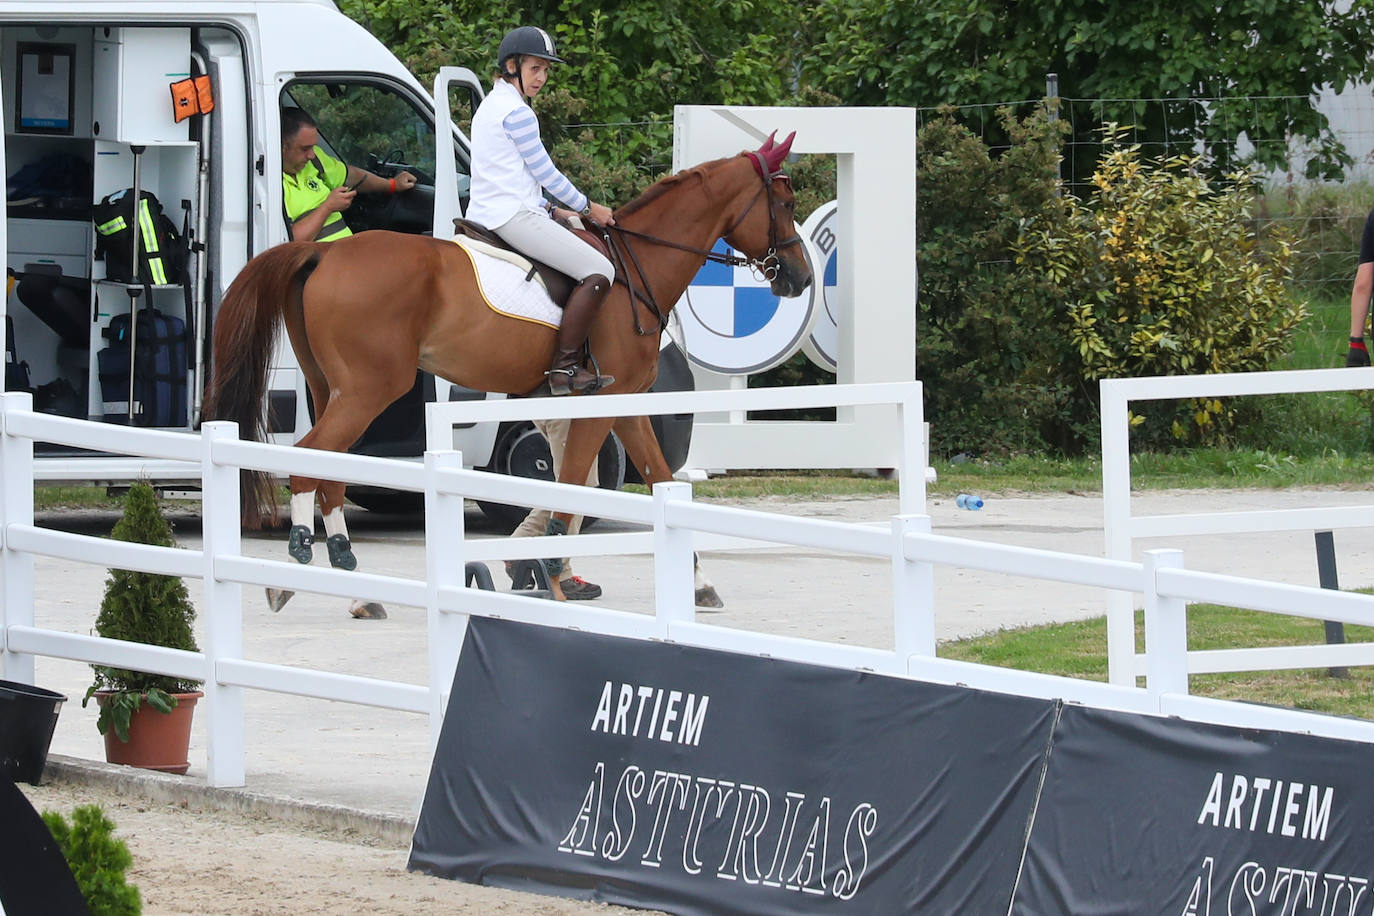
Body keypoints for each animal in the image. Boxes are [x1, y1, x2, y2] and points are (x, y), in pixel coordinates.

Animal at [200, 129, 802, 615]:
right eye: (785, 200)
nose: (797, 276)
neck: (636, 270)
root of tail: (325, 254)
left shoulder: (626, 402)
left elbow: (654, 479)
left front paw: (698, 583)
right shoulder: (597, 401)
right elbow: (571, 484)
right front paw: (554, 575)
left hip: (332, 389)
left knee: (329, 473)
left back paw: (356, 591)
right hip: (369, 390)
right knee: (307, 464)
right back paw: (294, 569)